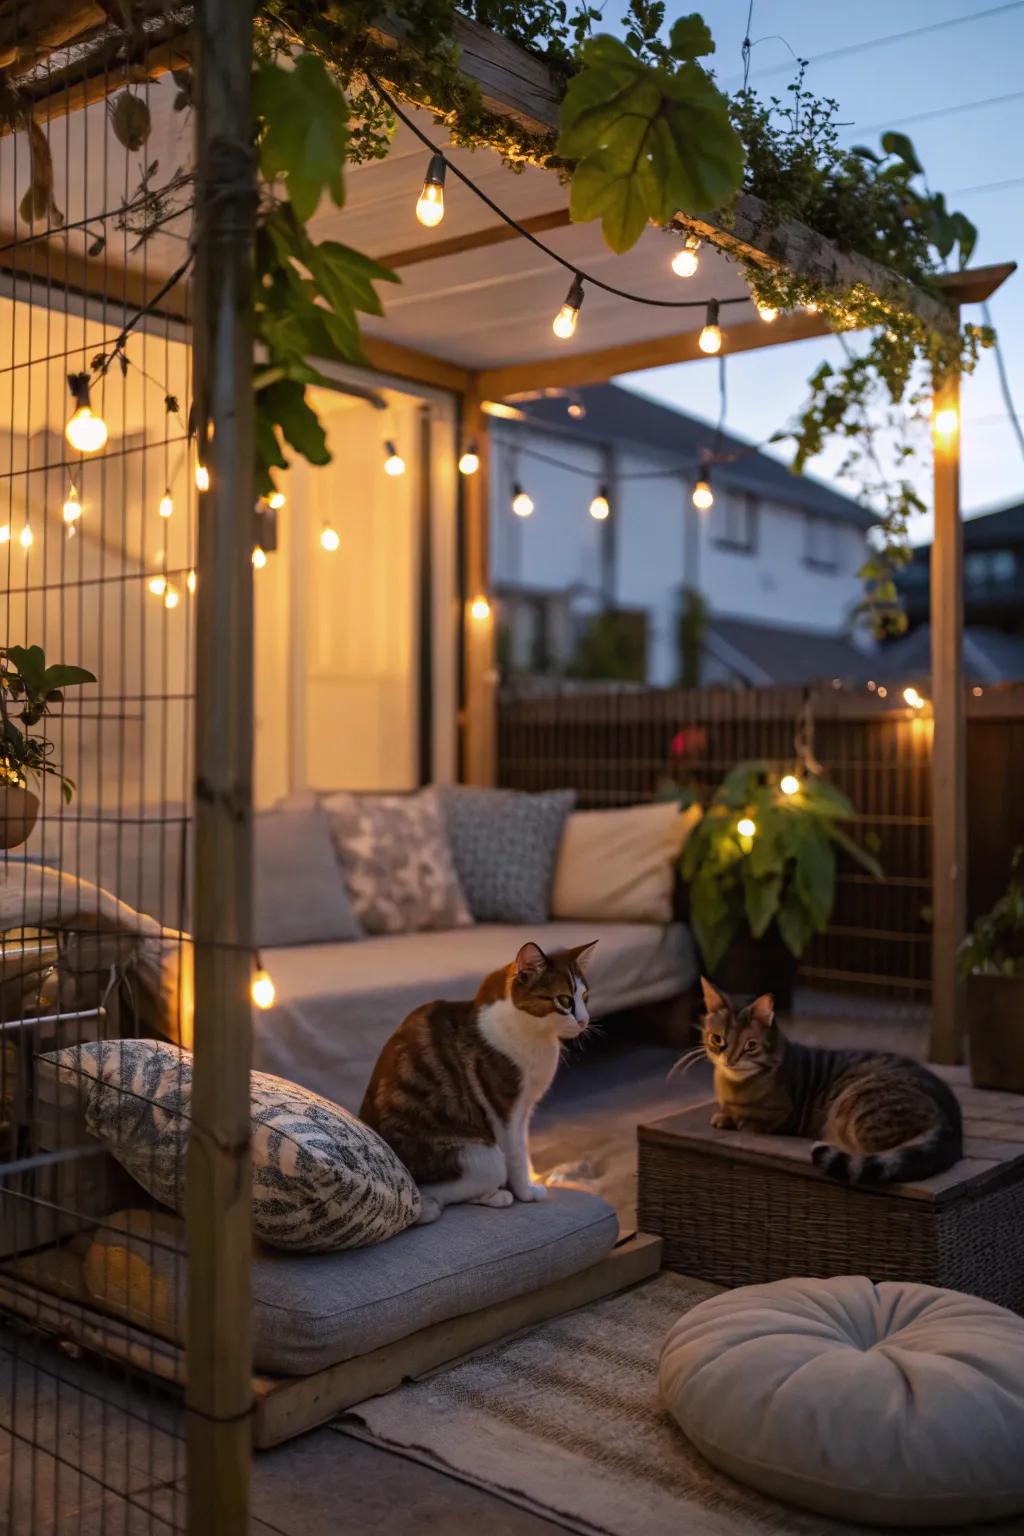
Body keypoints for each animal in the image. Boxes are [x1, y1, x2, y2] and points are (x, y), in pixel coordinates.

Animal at [363, 933, 595, 1222]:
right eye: (564, 1000)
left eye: (585, 996)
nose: (585, 1021)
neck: (535, 1035)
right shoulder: (506, 1107)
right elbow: (516, 1153)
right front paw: (526, 1191)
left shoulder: (526, 1108)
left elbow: (524, 1147)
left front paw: (530, 1179)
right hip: (480, 1156)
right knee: (443, 1192)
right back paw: (490, 1196)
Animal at [696, 976, 964, 1179]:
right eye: (718, 1039)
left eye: (749, 1046)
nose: (730, 1060)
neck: (734, 1087)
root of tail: (952, 1126)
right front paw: (724, 1116)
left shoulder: (784, 1115)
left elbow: (756, 1121)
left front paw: (740, 1121)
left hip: (857, 1106)